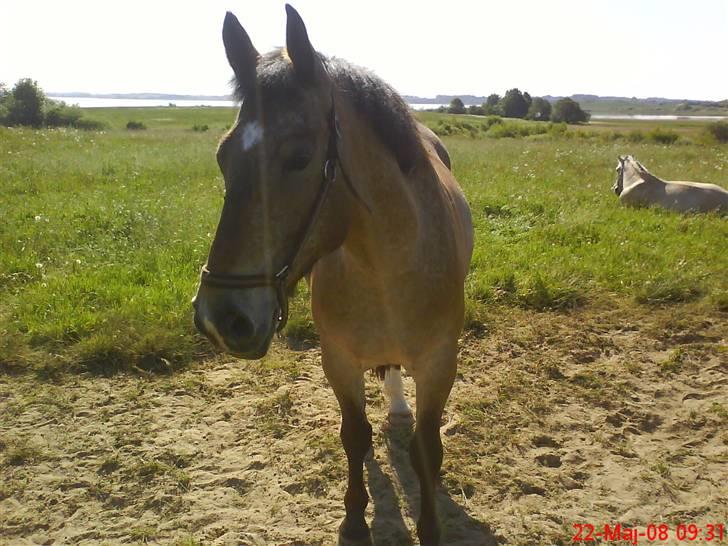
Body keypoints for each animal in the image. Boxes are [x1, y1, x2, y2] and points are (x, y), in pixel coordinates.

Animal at [193, 5, 474, 544]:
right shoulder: (338, 360)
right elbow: (354, 436)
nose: (222, 318)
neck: (386, 268)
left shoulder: (439, 363)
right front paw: (354, 518)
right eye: (222, 156)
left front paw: (430, 522)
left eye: (300, 157)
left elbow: (426, 447)